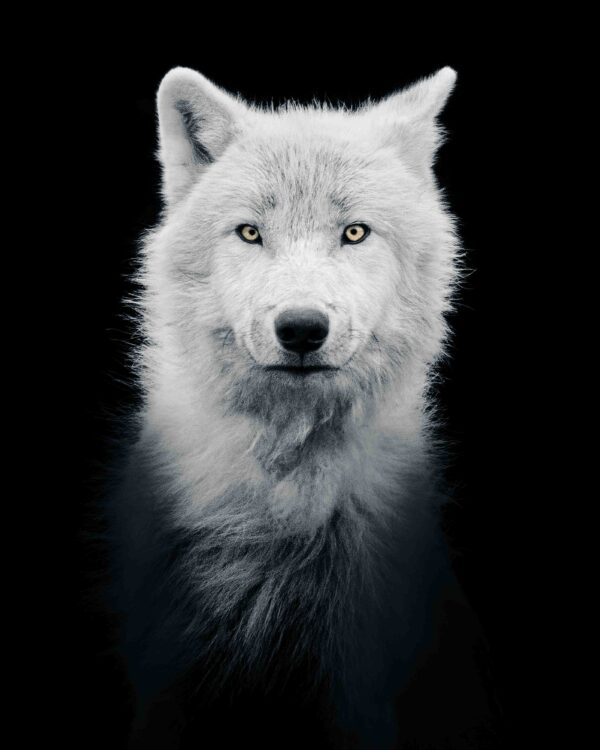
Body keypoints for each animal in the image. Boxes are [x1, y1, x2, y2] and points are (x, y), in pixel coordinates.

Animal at [100, 66, 504, 749]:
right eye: (250, 232)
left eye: (354, 232)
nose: (302, 328)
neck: (281, 496)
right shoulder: (168, 674)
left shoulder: (359, 684)